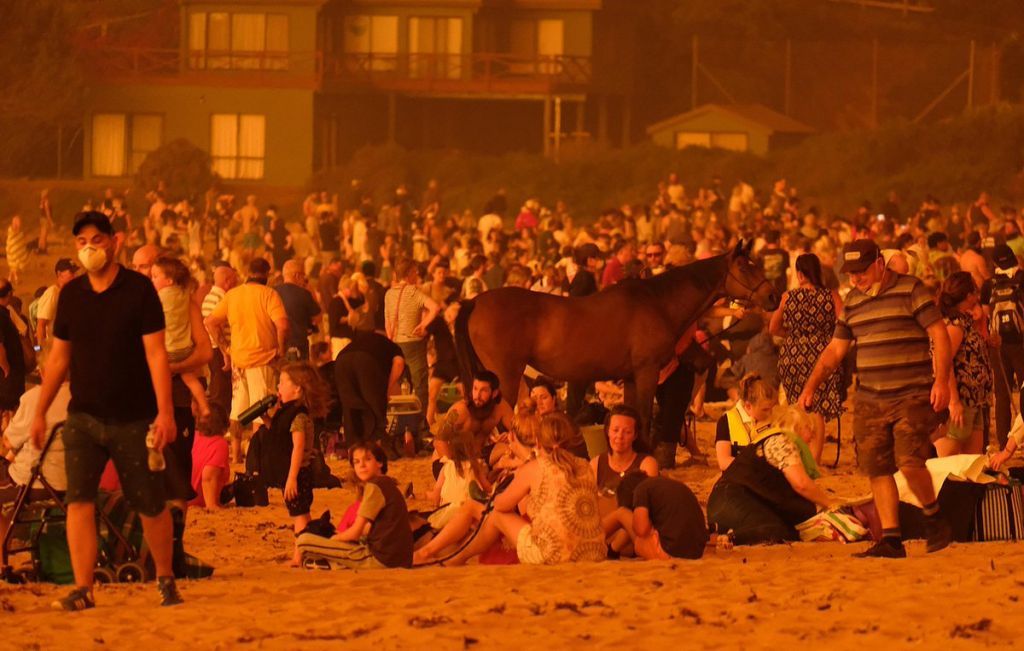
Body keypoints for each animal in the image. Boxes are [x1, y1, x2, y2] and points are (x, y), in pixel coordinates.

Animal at [454, 241, 774, 434]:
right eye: (744, 266)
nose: (771, 296)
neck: (657, 302)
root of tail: (475, 302)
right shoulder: (646, 372)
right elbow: (643, 417)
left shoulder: (630, 377)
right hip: (505, 377)